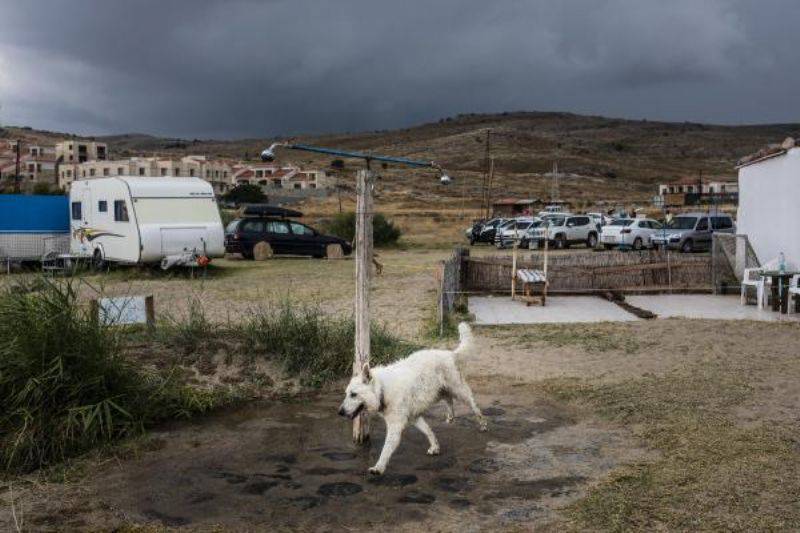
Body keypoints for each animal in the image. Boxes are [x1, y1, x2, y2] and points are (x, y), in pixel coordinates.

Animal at [334, 320, 484, 474]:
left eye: (353, 394)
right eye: (347, 394)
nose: (340, 412)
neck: (383, 389)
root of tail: (449, 353)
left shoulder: (396, 426)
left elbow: (385, 450)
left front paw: (378, 467)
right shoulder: (414, 417)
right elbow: (428, 431)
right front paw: (435, 447)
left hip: (459, 390)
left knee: (473, 404)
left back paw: (482, 422)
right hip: (439, 392)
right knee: (449, 399)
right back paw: (450, 416)